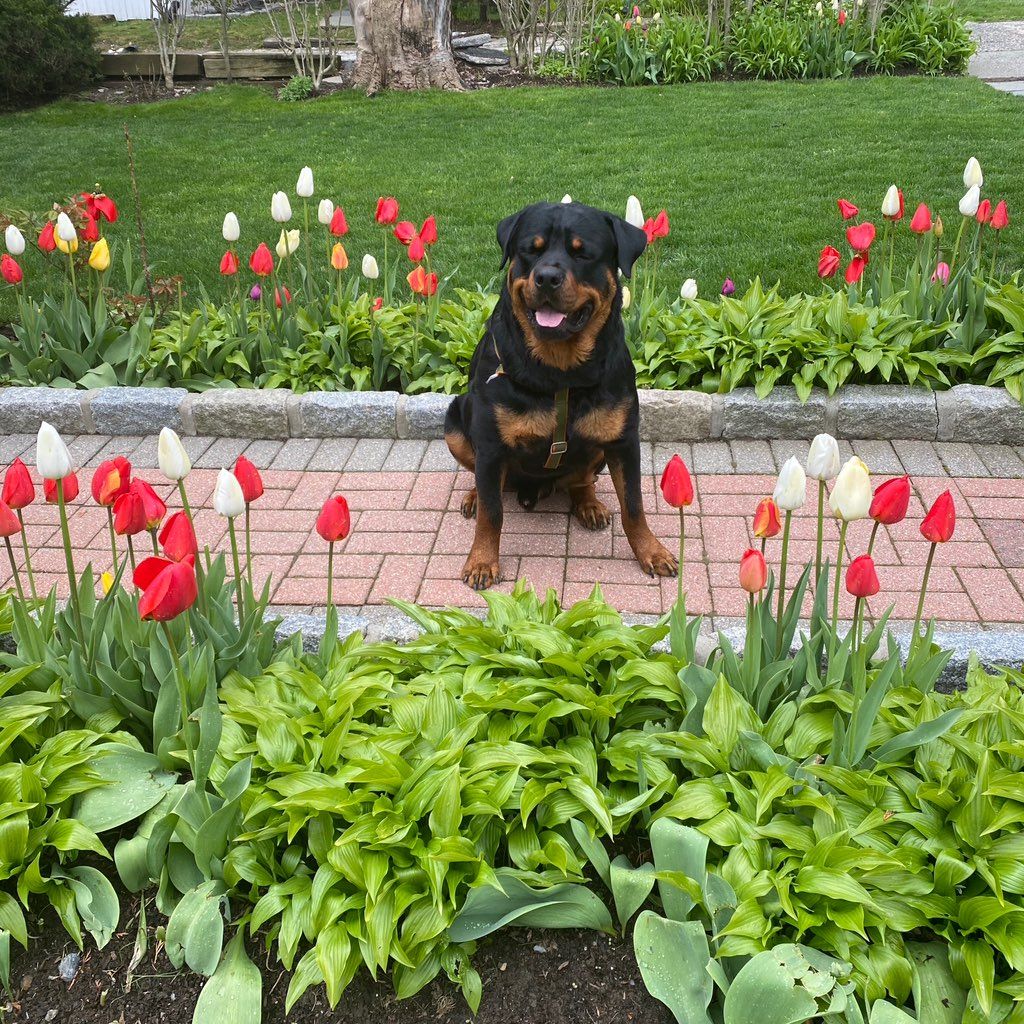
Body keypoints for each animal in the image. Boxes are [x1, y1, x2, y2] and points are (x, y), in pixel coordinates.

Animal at [442, 199, 675, 589]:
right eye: (530, 250)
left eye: (582, 253)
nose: (547, 277)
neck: (561, 372)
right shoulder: (490, 443)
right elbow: (492, 512)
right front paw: (482, 561)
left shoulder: (624, 440)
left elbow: (634, 504)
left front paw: (651, 550)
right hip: (454, 421)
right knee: (482, 479)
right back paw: (474, 495)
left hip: (597, 448)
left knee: (581, 479)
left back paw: (589, 504)